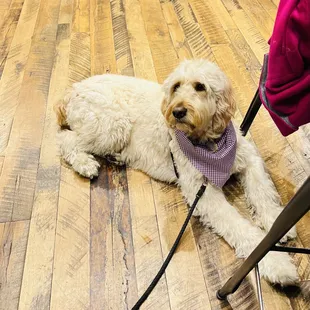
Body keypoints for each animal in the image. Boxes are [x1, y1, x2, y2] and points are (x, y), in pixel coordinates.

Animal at [55, 60, 298, 286]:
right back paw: (85, 163)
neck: (210, 146)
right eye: (176, 86)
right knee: (66, 139)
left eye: (200, 86)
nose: (178, 111)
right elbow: (239, 226)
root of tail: (72, 90)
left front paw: (277, 224)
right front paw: (277, 263)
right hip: (111, 126)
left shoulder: (248, 158)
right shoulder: (203, 193)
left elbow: (263, 193)